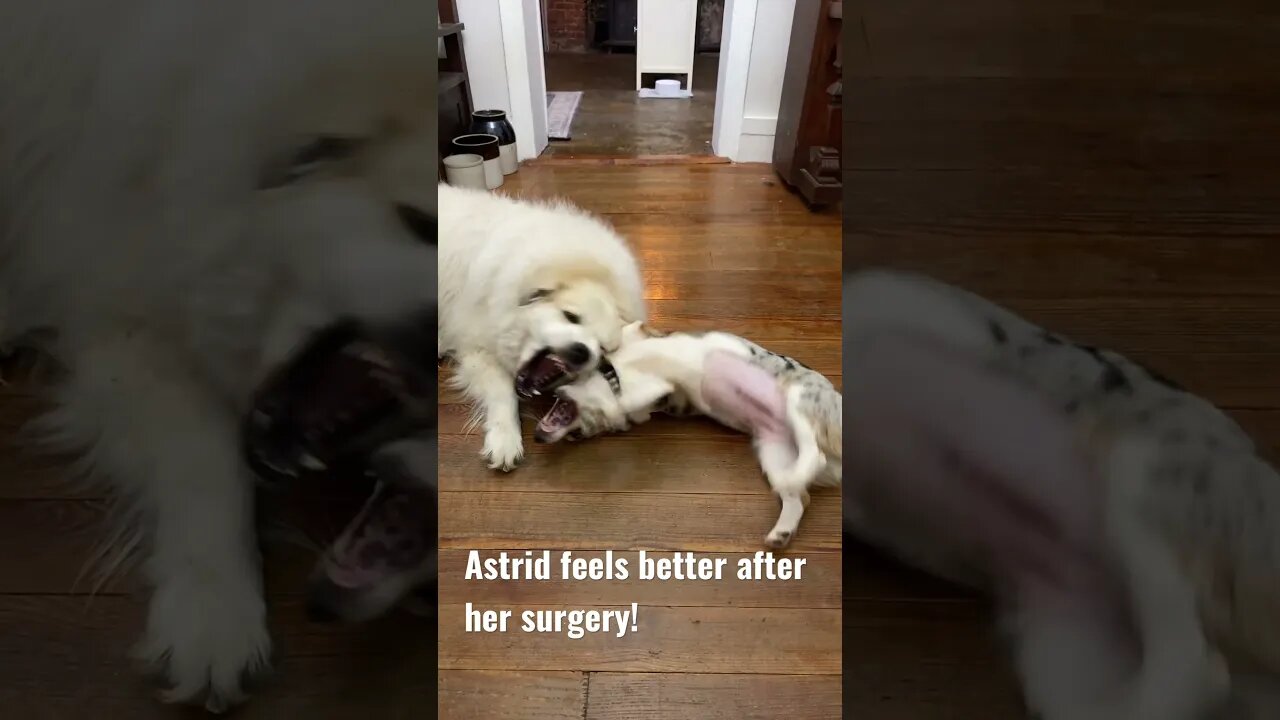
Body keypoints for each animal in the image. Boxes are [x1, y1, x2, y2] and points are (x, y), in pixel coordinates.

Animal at [437, 181, 645, 468]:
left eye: (603, 349)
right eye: (570, 316)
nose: (582, 351)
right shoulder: (477, 347)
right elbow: (503, 392)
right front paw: (504, 439)